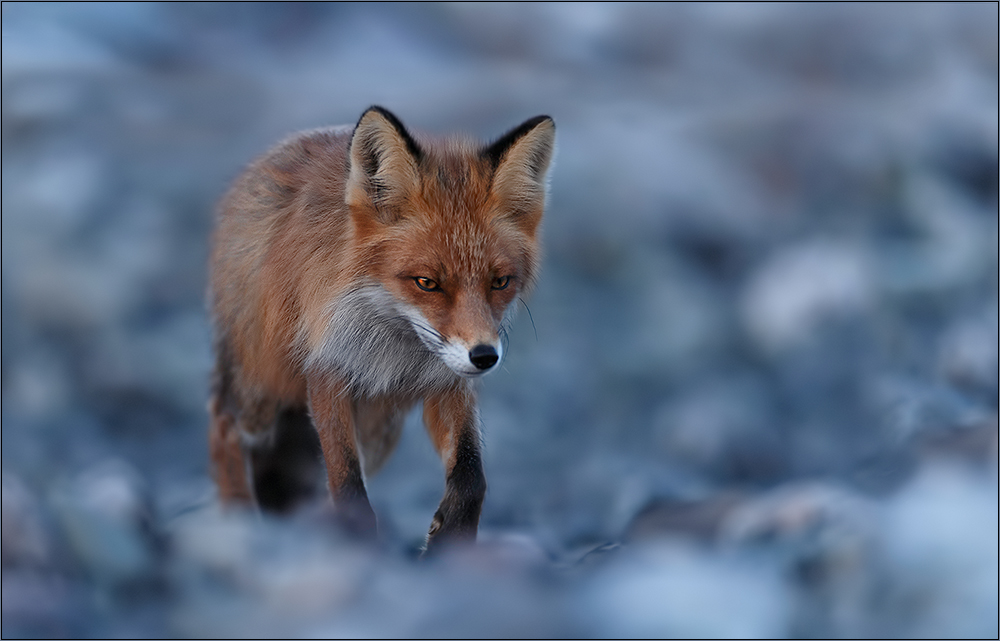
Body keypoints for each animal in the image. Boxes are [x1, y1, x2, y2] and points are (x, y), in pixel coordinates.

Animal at [208, 105, 556, 552]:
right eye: (427, 282)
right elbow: (347, 485)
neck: (393, 347)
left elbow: (471, 475)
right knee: (223, 425)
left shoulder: (447, 382)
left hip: (379, 430)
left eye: (500, 282)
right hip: (262, 389)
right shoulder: (327, 371)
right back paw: (237, 519)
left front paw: (450, 539)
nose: (484, 357)